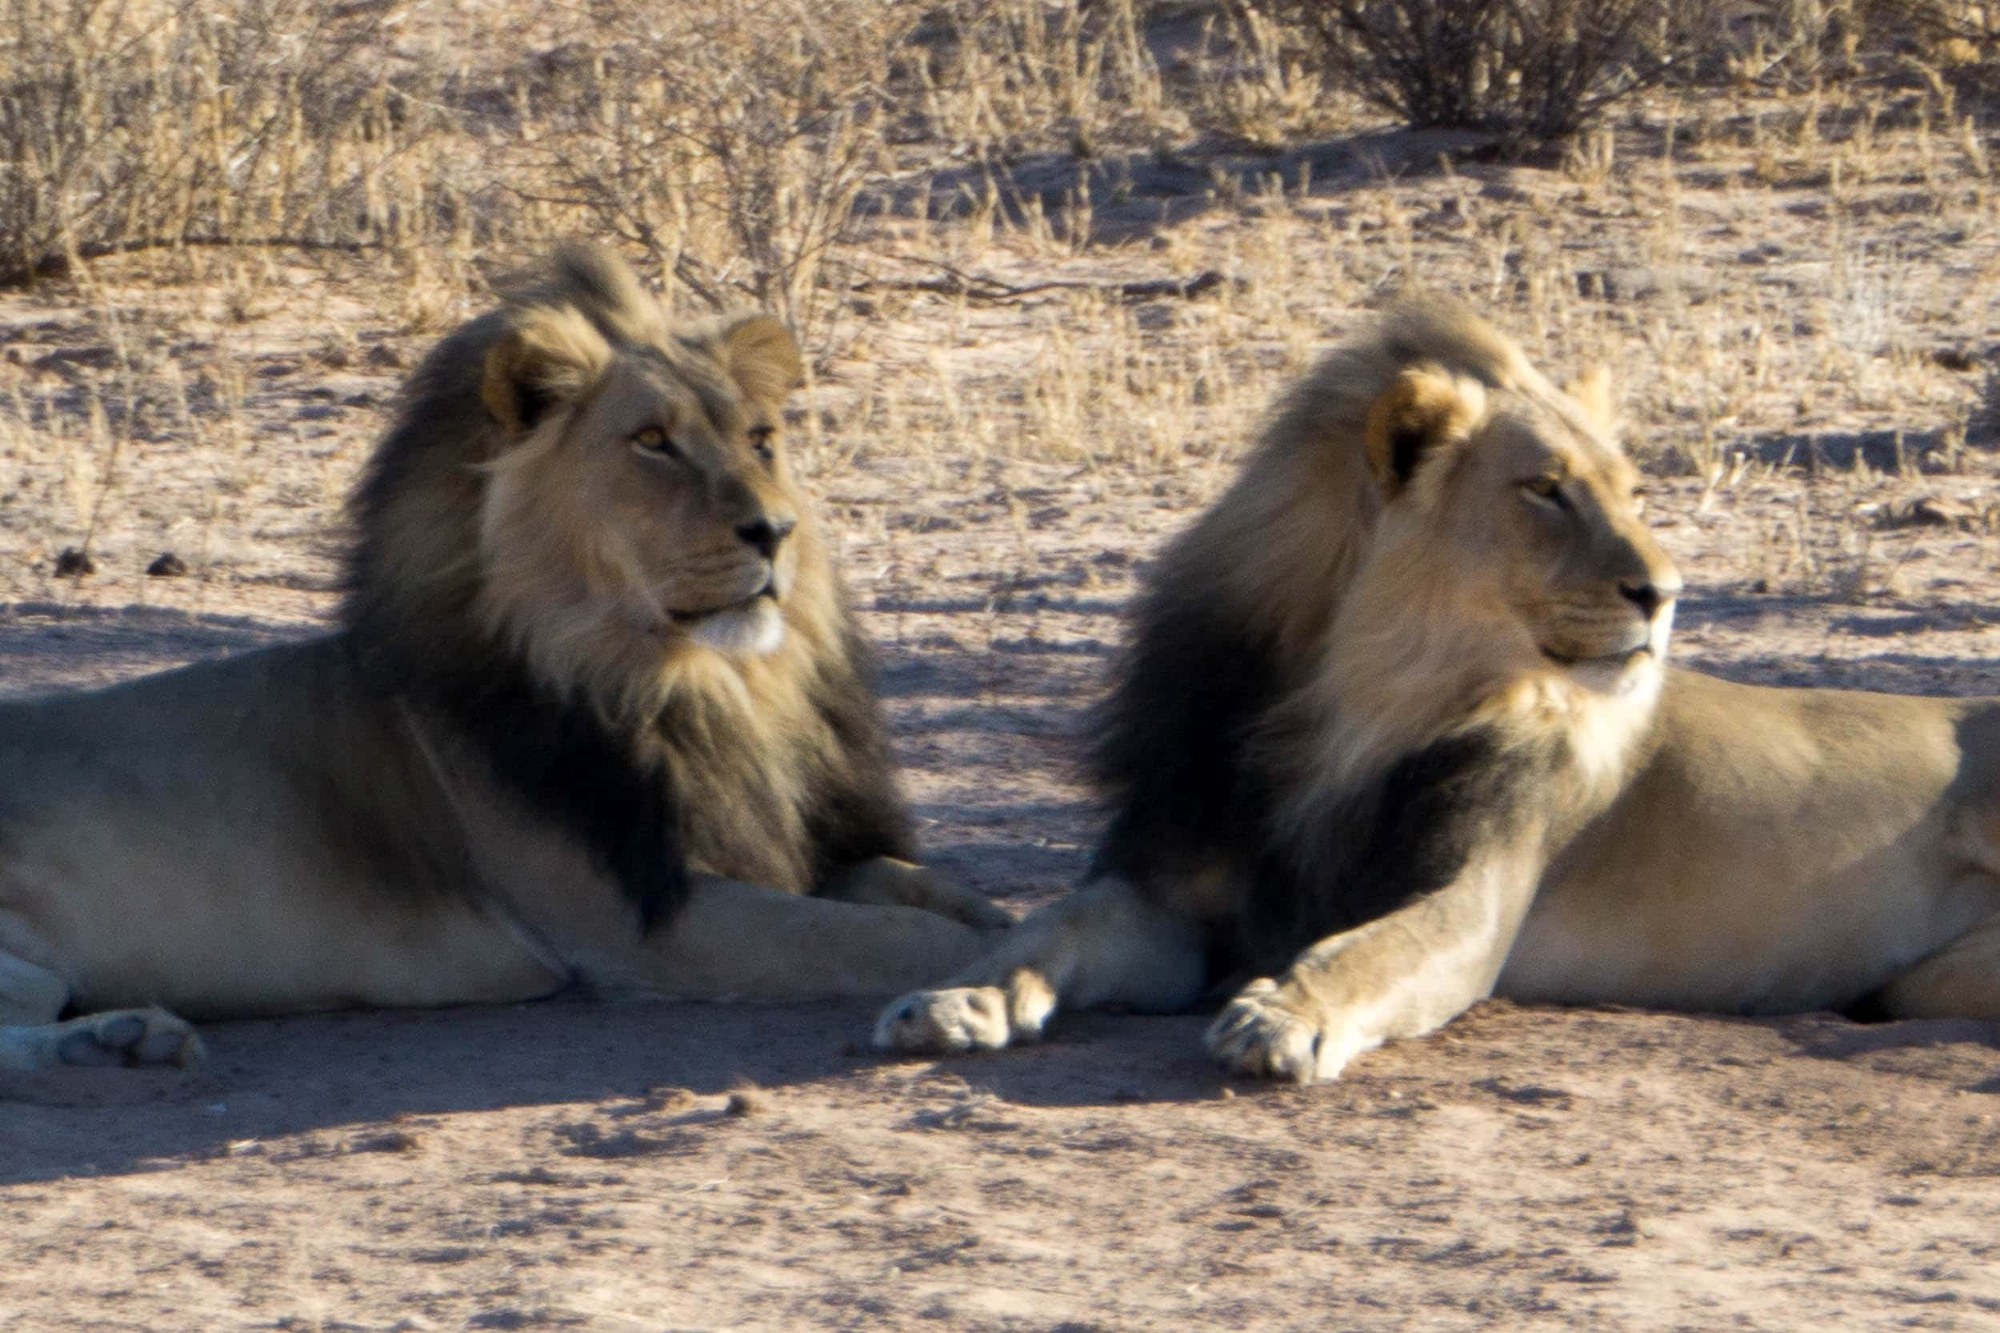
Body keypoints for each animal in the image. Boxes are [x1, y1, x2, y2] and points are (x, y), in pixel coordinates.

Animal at [0, 242, 1006, 1072]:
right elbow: (891, 936)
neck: (695, 684)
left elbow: (920, 889)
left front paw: (994, 918)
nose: (776, 531)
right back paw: (118, 1041)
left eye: (762, 439)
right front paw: (983, 976)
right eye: (653, 442)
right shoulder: (643, 926)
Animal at [876, 299, 2000, 1083]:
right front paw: (950, 1000)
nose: (1667, 592)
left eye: (1631, 492)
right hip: (1919, 980)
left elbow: (1368, 951)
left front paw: (1280, 1018)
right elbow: (1050, 924)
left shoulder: (1472, 897)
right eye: (1545, 490)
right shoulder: (1171, 887)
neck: (1343, 711)